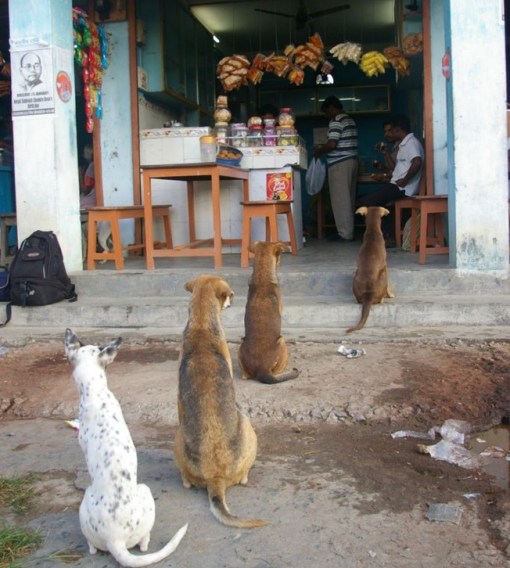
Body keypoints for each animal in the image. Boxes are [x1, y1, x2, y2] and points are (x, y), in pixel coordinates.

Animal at [238, 242, 298, 384]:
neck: (262, 277)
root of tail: (262, 369)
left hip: (241, 344)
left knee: (245, 376)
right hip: (282, 341)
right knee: (277, 371)